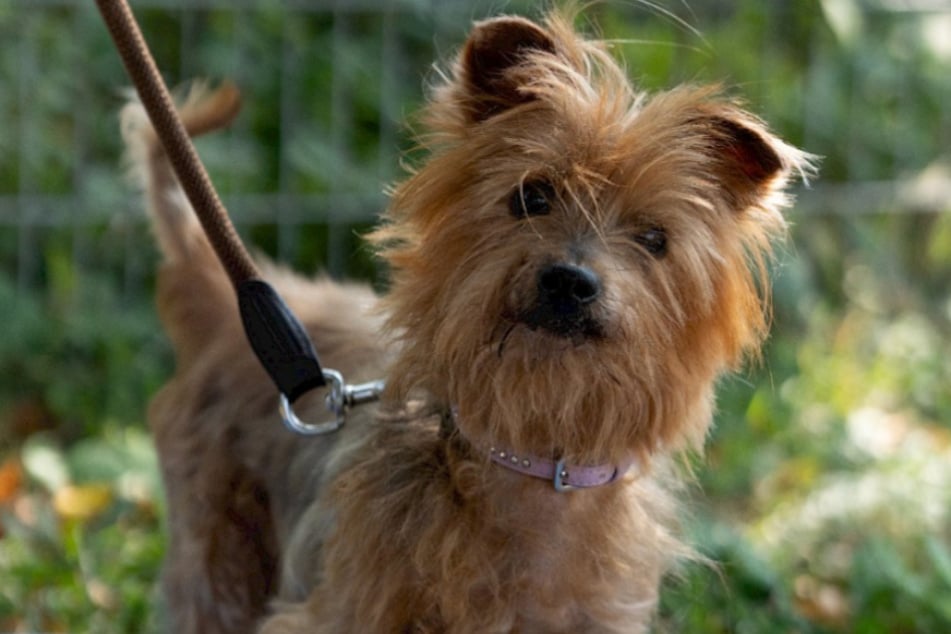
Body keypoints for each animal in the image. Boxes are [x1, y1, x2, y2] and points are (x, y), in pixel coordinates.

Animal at [124, 9, 812, 632]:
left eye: (653, 238)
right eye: (532, 196)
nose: (570, 280)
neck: (534, 458)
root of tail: (233, 301)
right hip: (215, 550)